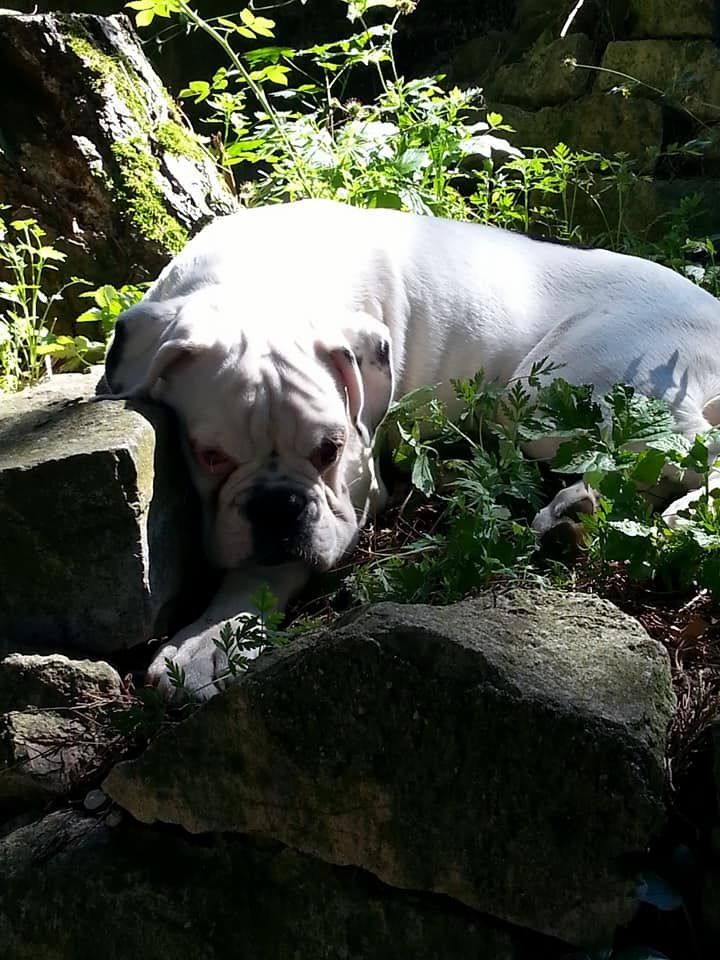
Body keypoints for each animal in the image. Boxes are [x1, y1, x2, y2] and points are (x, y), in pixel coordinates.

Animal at [104, 199, 720, 699]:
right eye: (209, 456)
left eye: (329, 451)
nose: (278, 508)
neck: (263, 278)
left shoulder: (352, 490)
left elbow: (267, 570)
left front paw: (209, 642)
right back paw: (575, 512)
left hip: (556, 394)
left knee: (679, 456)